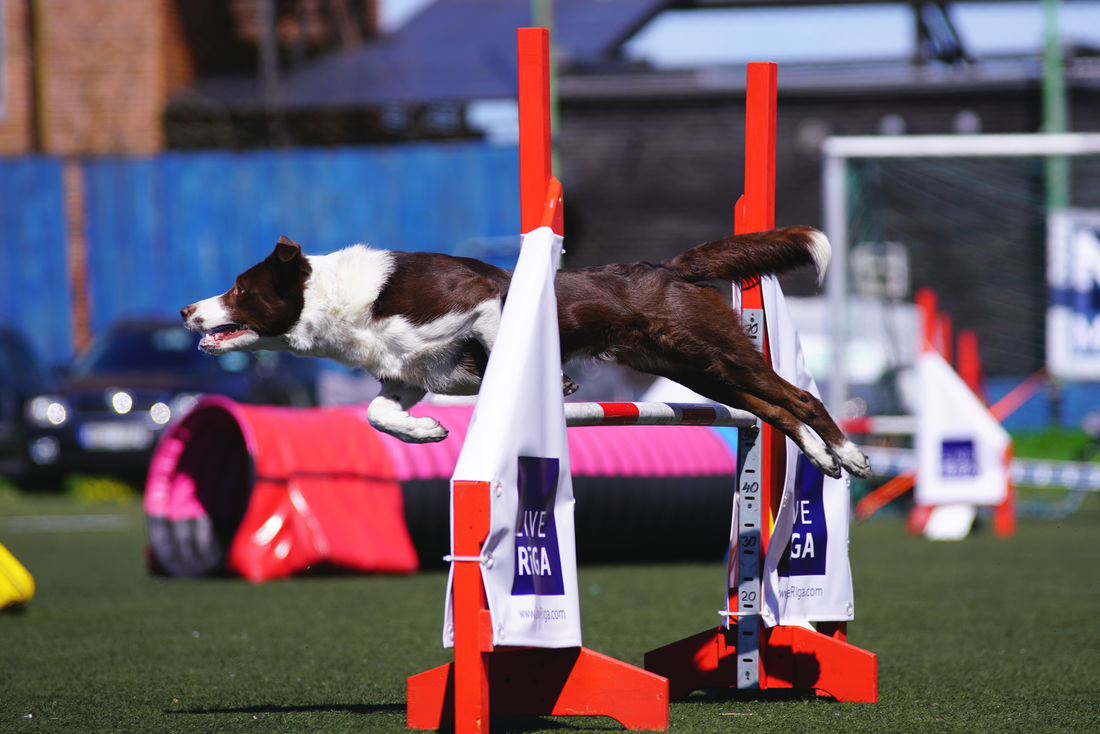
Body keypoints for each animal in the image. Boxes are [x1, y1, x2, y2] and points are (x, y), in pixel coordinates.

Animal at [180, 231, 866, 481]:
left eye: (238, 289)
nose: (186, 311)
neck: (342, 301)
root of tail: (668, 267)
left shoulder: (482, 301)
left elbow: (495, 332)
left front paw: (553, 382)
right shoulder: (406, 376)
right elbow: (379, 413)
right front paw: (427, 432)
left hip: (714, 352)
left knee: (800, 395)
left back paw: (851, 454)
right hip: (699, 372)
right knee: (771, 410)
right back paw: (819, 456)